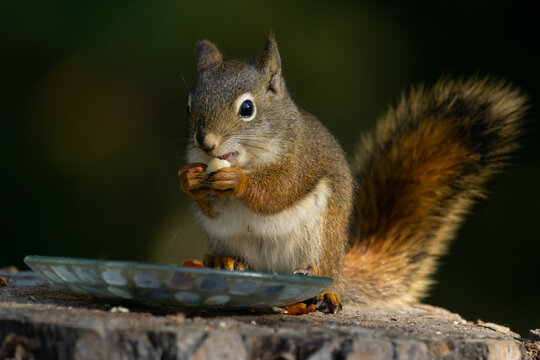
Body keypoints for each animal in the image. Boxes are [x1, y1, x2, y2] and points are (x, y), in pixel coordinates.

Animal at [178, 35, 528, 314]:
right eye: (189, 108)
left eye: (247, 109)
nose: (205, 143)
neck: (251, 159)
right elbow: (212, 204)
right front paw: (189, 181)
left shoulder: (301, 161)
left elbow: (279, 191)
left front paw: (237, 181)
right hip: (227, 238)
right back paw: (226, 262)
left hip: (321, 241)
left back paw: (323, 294)